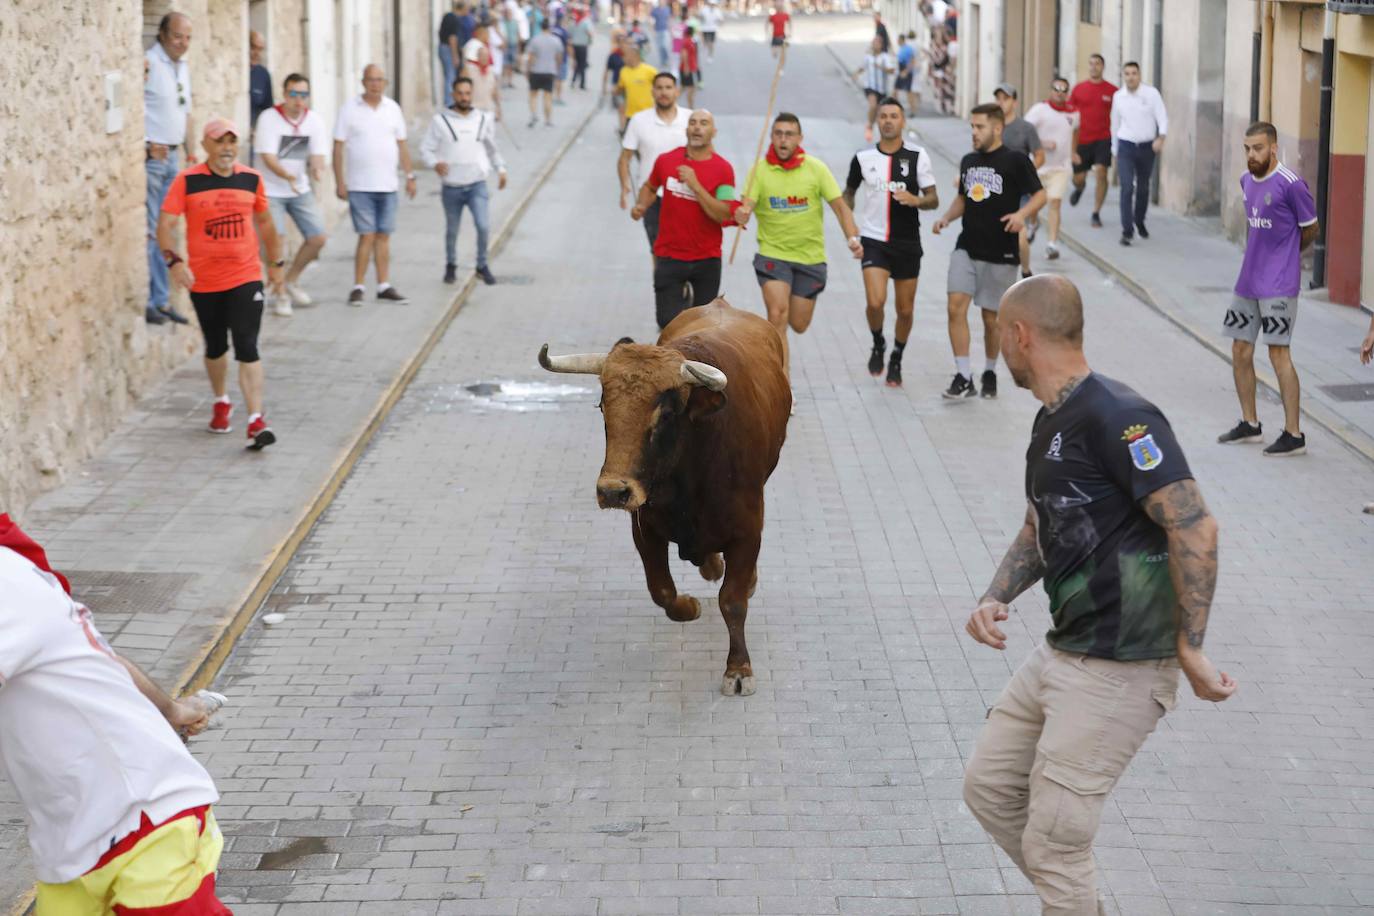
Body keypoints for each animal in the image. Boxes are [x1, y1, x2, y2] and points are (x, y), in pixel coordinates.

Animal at [538, 299, 791, 694]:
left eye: (666, 413)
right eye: (604, 407)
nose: (613, 491)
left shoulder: (748, 530)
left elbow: (733, 600)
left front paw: (738, 668)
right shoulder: (645, 527)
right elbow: (662, 590)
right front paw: (689, 606)